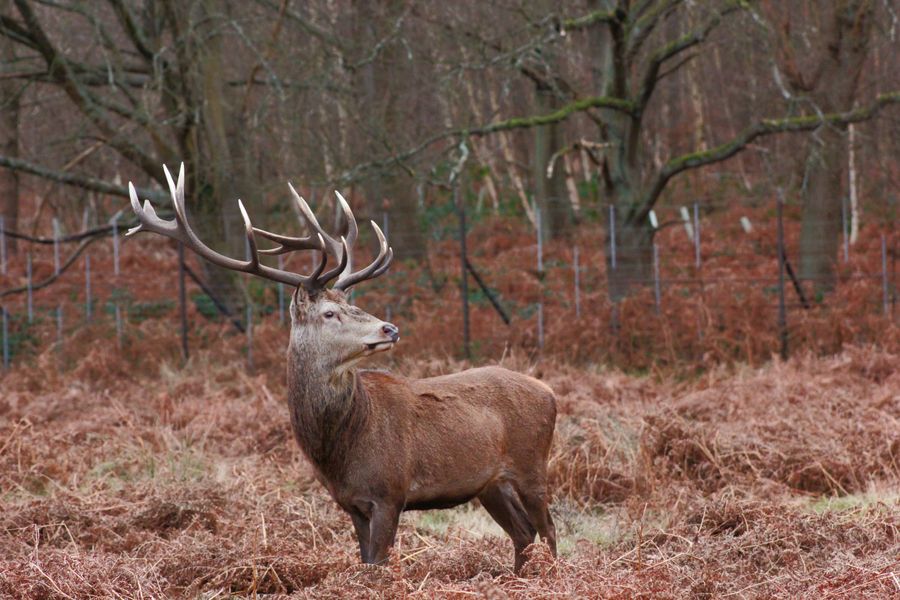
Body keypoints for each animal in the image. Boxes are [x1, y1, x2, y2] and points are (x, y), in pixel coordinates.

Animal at [126, 164, 557, 573]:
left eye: (352, 304)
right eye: (330, 312)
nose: (390, 328)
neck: (339, 450)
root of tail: (550, 392)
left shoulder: (390, 491)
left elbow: (379, 564)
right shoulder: (351, 502)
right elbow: (365, 560)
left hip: (532, 463)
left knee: (548, 528)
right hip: (490, 483)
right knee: (524, 532)